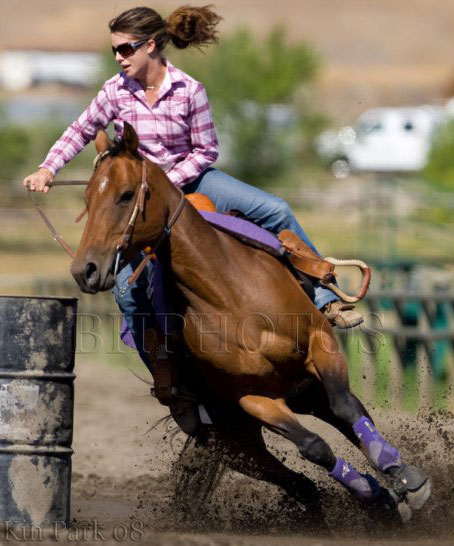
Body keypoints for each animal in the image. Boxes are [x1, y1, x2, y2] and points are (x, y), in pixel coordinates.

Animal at [72, 122, 432, 520]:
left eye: (125, 195)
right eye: (87, 199)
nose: (85, 270)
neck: (230, 294)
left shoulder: (320, 345)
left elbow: (346, 407)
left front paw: (407, 480)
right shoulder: (253, 398)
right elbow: (314, 446)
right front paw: (377, 493)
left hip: (306, 392)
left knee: (345, 417)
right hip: (236, 438)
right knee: (299, 482)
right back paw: (367, 502)